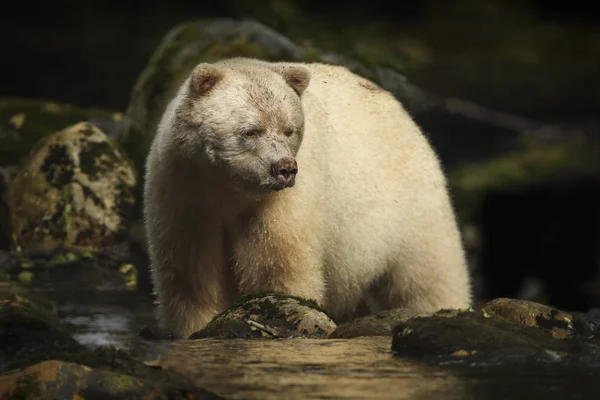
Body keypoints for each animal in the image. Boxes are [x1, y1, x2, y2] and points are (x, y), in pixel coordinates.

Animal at [143, 57, 472, 338]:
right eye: (251, 131)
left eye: (289, 129)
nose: (284, 168)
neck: (230, 189)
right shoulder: (186, 195)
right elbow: (192, 278)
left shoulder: (281, 205)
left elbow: (280, 269)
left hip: (412, 206)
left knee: (429, 276)